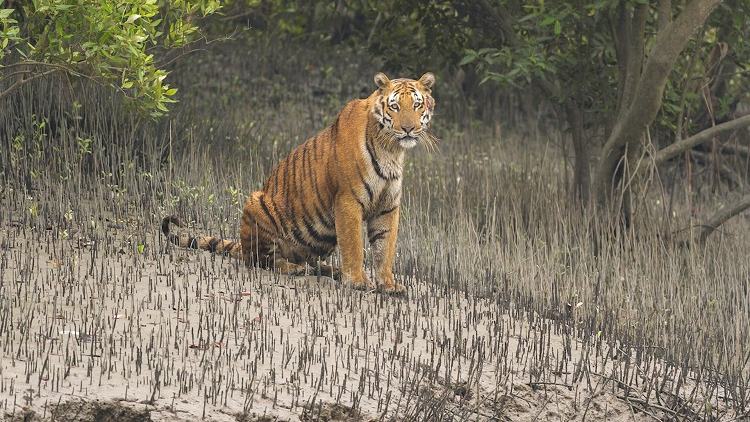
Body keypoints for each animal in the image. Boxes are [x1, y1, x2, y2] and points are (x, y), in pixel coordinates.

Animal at [162, 72, 437, 294]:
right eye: (395, 107)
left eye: (416, 105)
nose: (408, 129)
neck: (391, 149)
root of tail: (242, 244)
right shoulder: (348, 201)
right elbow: (354, 245)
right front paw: (357, 281)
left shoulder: (387, 207)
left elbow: (385, 248)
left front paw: (388, 285)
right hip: (257, 203)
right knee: (260, 260)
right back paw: (291, 267)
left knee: (310, 262)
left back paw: (331, 271)